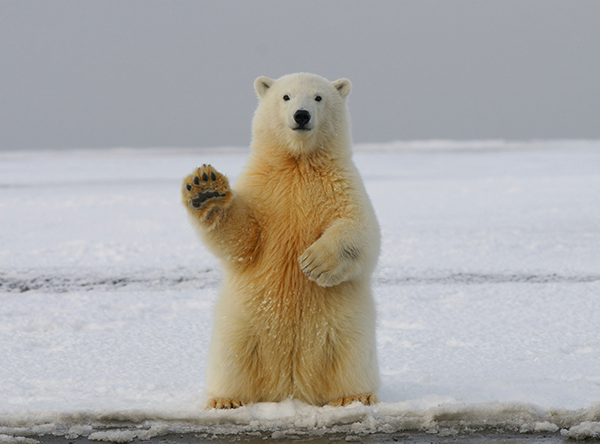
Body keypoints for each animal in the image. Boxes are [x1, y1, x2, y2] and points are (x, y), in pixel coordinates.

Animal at [182, 73, 380, 410]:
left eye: (318, 97)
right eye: (285, 96)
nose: (301, 115)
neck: (298, 163)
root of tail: (290, 388)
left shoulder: (341, 184)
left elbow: (361, 231)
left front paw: (314, 262)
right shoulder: (264, 188)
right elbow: (243, 238)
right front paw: (205, 188)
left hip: (346, 327)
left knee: (350, 357)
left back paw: (355, 396)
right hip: (241, 325)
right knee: (232, 358)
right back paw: (226, 400)